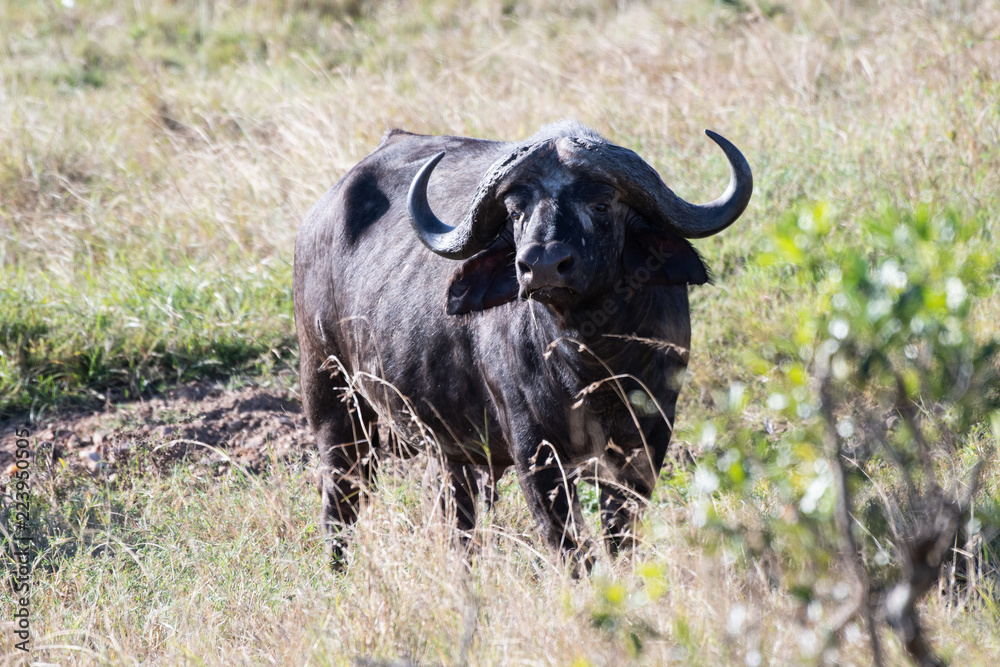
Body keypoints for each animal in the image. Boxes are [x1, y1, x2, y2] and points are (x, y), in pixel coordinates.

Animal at [292, 122, 752, 568]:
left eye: (601, 205)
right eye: (516, 212)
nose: (542, 265)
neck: (589, 362)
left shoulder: (650, 436)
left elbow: (619, 534)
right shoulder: (533, 450)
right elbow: (569, 546)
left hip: (446, 448)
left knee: (457, 519)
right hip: (333, 398)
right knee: (341, 501)